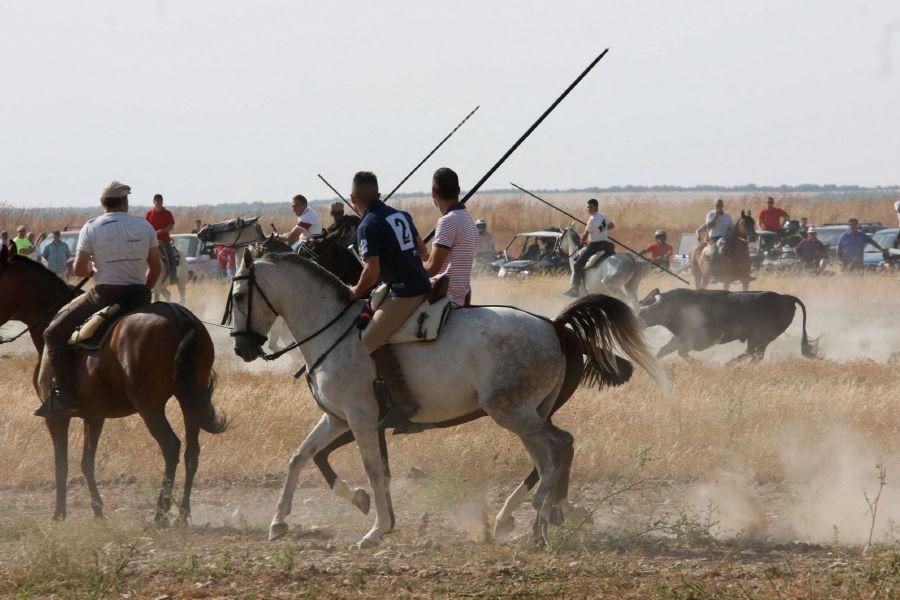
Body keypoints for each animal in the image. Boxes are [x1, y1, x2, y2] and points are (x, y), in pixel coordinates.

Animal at [0, 241, 225, 524]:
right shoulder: (94, 415)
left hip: (149, 406)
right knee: (191, 452)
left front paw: (59, 513)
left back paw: (160, 513)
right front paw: (97, 510)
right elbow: (87, 461)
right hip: (189, 399)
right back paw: (182, 514)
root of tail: (180, 318)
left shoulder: (55, 416)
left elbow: (61, 464)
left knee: (171, 446)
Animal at [230, 248, 668, 548]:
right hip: (529, 413)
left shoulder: (359, 418)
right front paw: (279, 522)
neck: (335, 330)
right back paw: (536, 521)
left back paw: (535, 521)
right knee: (549, 457)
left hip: (513, 412)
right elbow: (300, 456)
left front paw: (377, 529)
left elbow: (373, 470)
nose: (241, 348)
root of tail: (555, 327)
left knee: (558, 448)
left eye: (236, 298)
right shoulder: (336, 418)